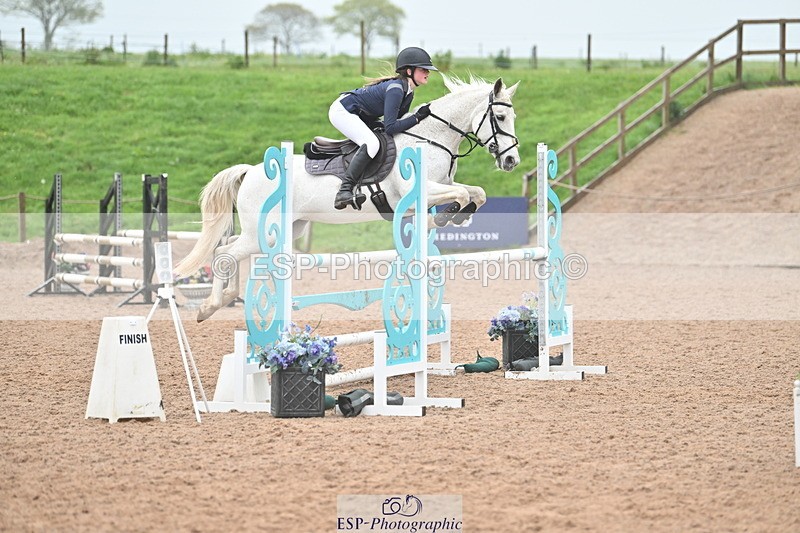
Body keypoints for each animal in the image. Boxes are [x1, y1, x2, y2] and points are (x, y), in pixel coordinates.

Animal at [176, 75, 521, 321]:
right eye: (501, 118)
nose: (511, 161)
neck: (430, 138)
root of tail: (250, 171)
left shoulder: (438, 187)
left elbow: (477, 193)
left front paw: (457, 213)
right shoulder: (420, 191)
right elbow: (461, 193)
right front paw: (449, 215)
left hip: (285, 230)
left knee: (226, 250)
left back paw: (223, 300)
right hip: (263, 233)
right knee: (223, 254)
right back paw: (209, 307)